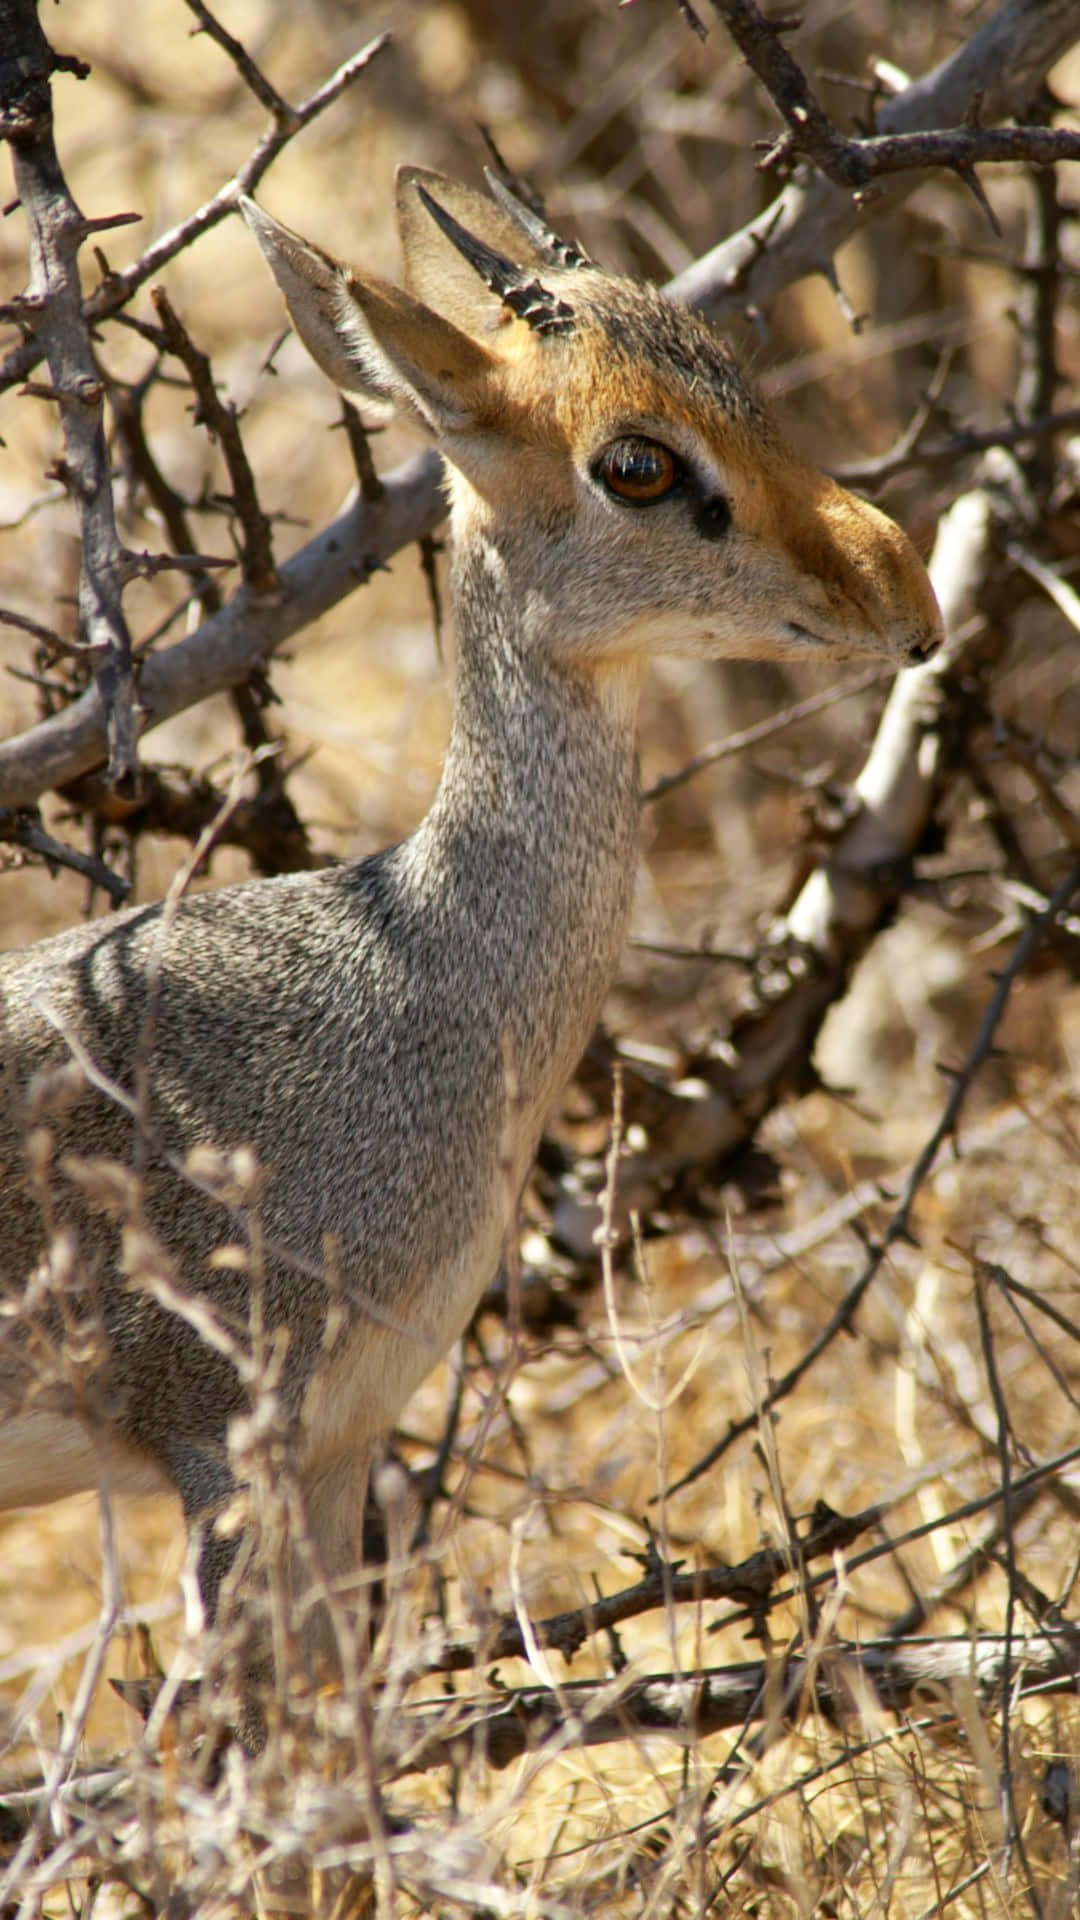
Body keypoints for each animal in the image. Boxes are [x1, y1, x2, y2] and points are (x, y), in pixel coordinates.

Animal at [0, 168, 942, 1728]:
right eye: (637, 462)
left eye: (734, 367)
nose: (906, 595)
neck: (409, 973)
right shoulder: (226, 1447)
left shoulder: (337, 1447)